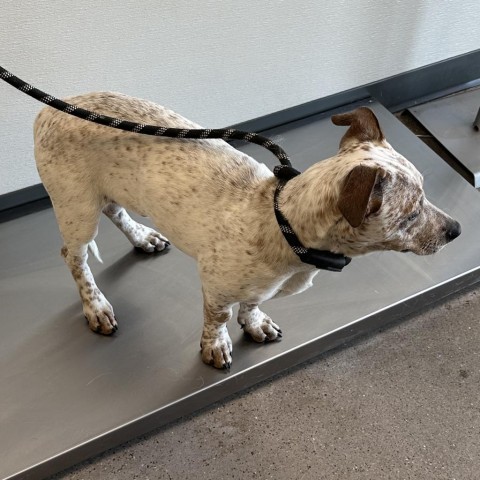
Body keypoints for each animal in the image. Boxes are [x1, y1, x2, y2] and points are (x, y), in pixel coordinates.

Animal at [33, 95, 462, 370]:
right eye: (410, 215)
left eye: (425, 193)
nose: (457, 229)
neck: (282, 224)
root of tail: (47, 110)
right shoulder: (215, 286)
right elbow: (218, 317)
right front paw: (216, 346)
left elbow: (252, 304)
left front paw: (255, 323)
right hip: (76, 210)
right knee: (74, 257)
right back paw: (96, 306)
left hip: (106, 193)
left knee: (115, 211)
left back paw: (143, 237)